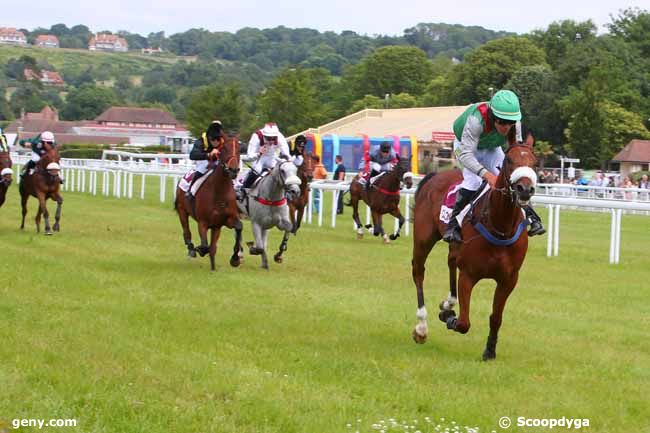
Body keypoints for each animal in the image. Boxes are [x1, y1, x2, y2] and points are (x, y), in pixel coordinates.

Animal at [173, 133, 242, 272]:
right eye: (224, 149)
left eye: (239, 150)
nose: (233, 170)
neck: (219, 191)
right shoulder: (203, 222)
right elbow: (205, 246)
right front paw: (199, 249)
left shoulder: (222, 222)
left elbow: (238, 228)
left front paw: (234, 259)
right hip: (182, 211)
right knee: (187, 232)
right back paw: (191, 249)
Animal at [410, 133, 536, 360]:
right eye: (509, 160)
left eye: (535, 162)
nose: (525, 189)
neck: (500, 226)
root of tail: (434, 176)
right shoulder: (468, 274)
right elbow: (463, 323)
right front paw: (448, 316)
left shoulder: (509, 279)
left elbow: (496, 317)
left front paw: (490, 350)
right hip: (423, 239)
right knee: (418, 272)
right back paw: (421, 328)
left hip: (454, 244)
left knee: (451, 262)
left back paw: (448, 302)